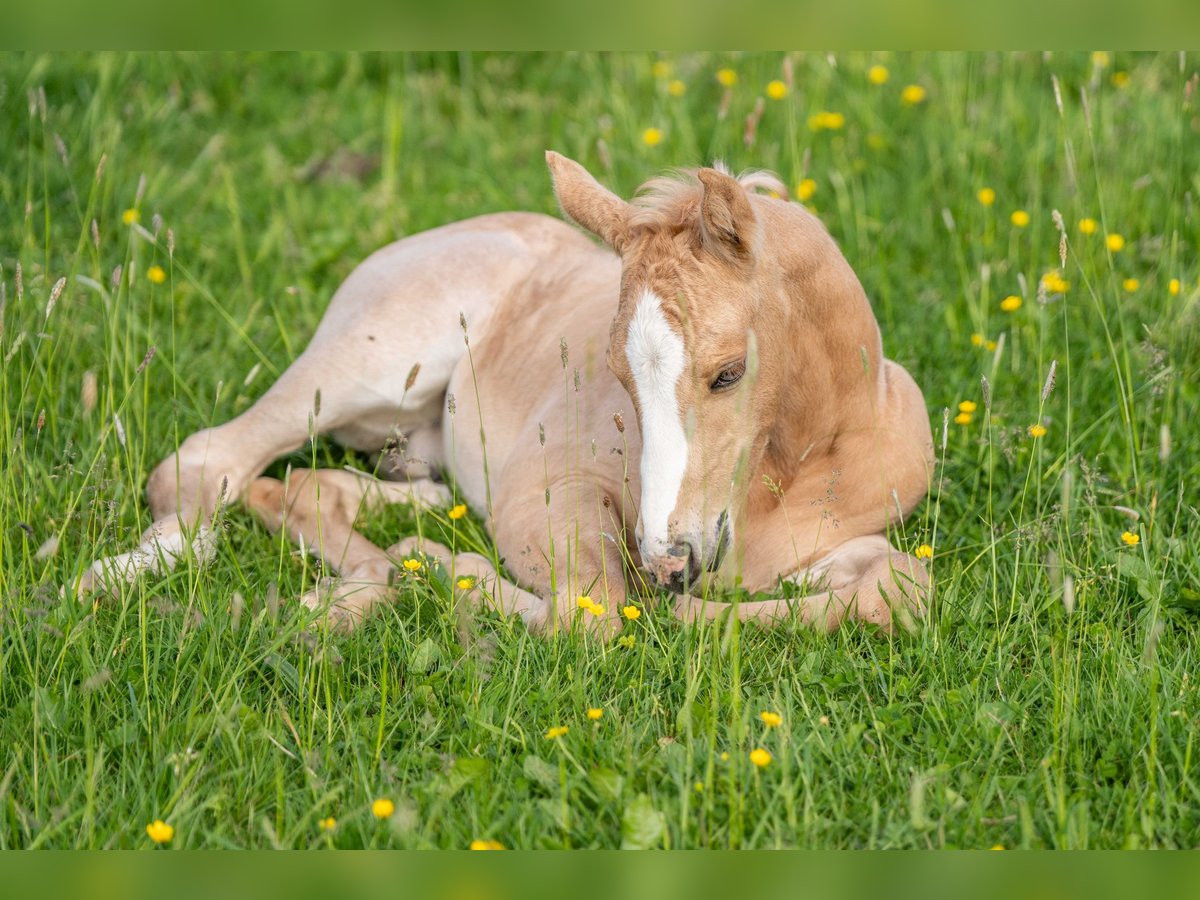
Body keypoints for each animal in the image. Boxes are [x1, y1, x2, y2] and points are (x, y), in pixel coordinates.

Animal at [77, 151, 936, 638]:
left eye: (729, 372)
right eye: (617, 373)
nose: (670, 563)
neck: (792, 469)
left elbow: (898, 588)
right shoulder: (546, 493)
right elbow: (591, 615)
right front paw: (448, 569)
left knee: (314, 487)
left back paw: (356, 579)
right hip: (364, 365)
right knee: (208, 460)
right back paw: (125, 577)